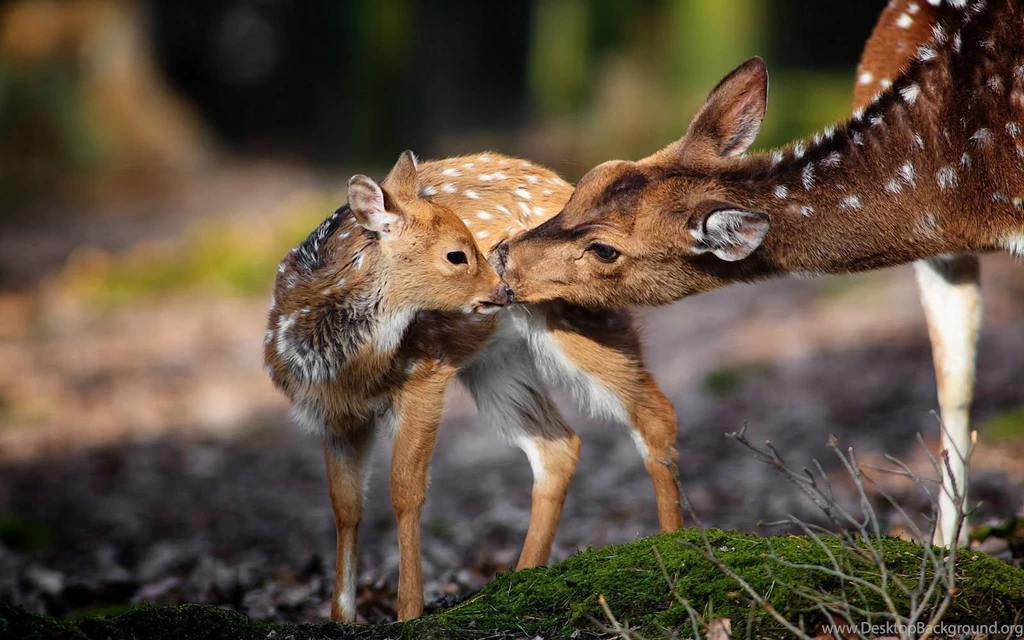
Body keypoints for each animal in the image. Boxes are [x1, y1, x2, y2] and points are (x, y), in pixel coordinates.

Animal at [265, 151, 682, 622]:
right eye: (457, 255)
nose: (504, 286)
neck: (348, 366)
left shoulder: (424, 373)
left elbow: (405, 490)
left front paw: (409, 611)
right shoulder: (332, 417)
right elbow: (345, 506)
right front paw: (342, 617)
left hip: (584, 318)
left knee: (655, 413)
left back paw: (673, 549)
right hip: (497, 363)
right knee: (558, 445)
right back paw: (524, 575)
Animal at [498, 0, 1024, 548]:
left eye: (604, 250)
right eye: (590, 179)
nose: (502, 253)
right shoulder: (940, 249)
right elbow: (955, 384)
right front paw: (943, 550)